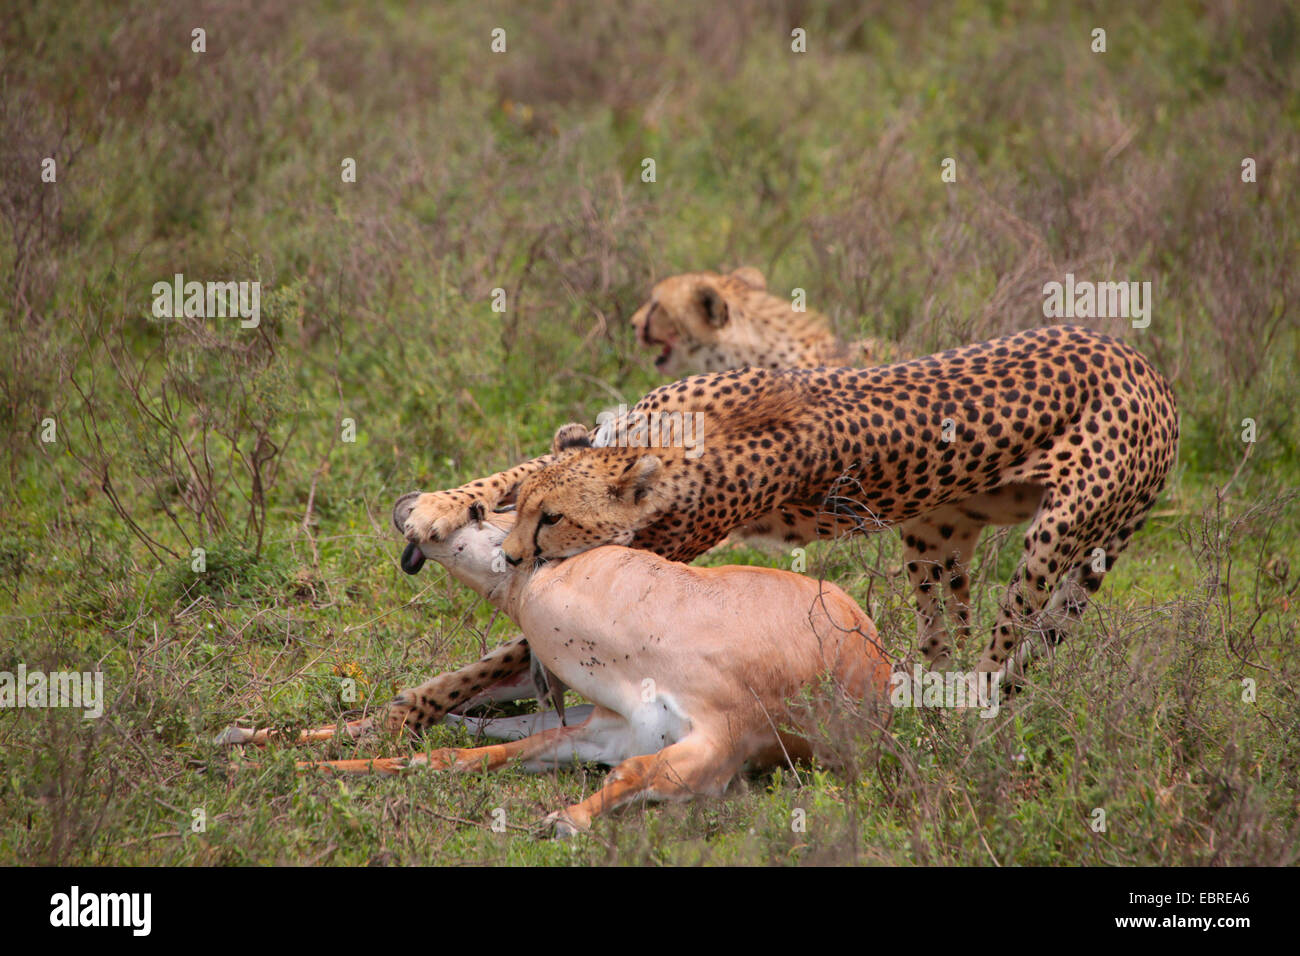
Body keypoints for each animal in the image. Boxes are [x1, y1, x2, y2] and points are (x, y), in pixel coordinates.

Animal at [392, 325, 1180, 728]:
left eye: (554, 522)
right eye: (530, 509)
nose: (513, 555)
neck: (666, 452)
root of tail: (1150, 369)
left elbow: (512, 646)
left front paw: (411, 710)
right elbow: (518, 468)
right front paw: (441, 506)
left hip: (1054, 538)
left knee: (1000, 649)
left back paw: (958, 727)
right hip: (935, 537)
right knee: (945, 637)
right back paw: (922, 704)